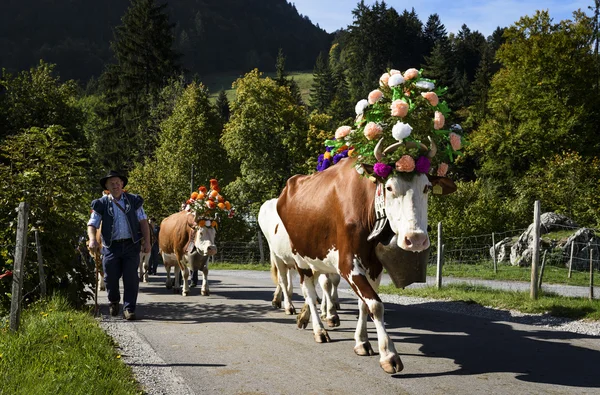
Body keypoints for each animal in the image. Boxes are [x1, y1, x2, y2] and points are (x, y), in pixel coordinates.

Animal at [274, 148, 458, 374]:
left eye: (427, 187)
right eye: (389, 187)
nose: (415, 239)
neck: (369, 208)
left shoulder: (374, 265)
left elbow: (364, 304)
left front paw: (362, 342)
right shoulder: (347, 264)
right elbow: (376, 304)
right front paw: (389, 355)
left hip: (317, 256)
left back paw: (304, 317)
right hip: (300, 257)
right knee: (308, 291)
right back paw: (319, 330)